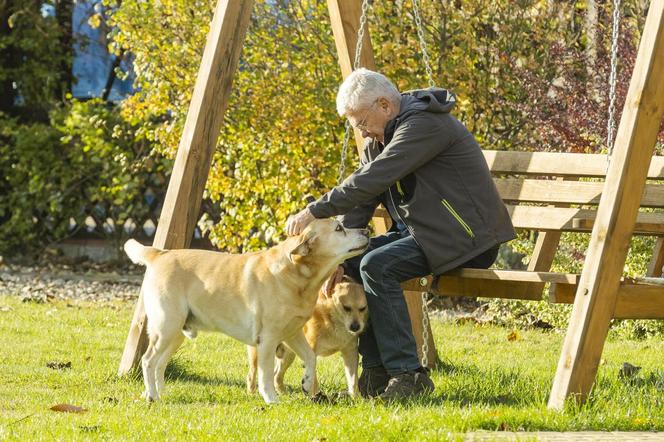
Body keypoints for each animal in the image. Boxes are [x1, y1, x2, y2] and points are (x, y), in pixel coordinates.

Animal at [122, 218, 366, 404]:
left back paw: (158, 392)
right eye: (339, 228)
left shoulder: (293, 332)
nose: (366, 230)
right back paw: (153, 396)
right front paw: (271, 399)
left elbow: (310, 358)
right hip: (167, 327)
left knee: (159, 364)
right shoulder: (268, 339)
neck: (296, 275)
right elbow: (266, 374)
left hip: (175, 334)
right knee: (148, 360)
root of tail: (159, 254)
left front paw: (306, 383)